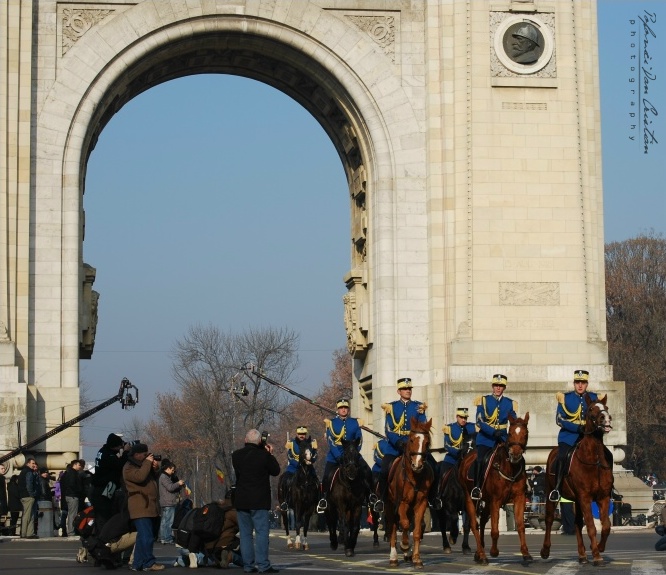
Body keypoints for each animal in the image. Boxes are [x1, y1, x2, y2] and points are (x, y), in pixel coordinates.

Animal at [382, 416, 434, 568]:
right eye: (411, 440)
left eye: (427, 442)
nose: (417, 465)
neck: (414, 476)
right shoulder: (402, 502)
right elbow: (404, 524)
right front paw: (404, 545)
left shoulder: (421, 503)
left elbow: (416, 530)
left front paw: (416, 558)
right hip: (390, 505)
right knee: (393, 526)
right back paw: (394, 557)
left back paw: (408, 555)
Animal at [456, 414, 528, 568]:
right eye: (510, 433)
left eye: (525, 434)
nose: (515, 454)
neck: (509, 467)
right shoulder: (496, 501)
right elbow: (494, 530)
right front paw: (494, 551)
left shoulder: (519, 498)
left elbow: (520, 526)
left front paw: (526, 553)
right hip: (470, 499)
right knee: (474, 524)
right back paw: (482, 555)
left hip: (487, 502)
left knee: (482, 521)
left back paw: (479, 553)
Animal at [540, 396, 612, 568]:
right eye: (591, 409)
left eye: (606, 407)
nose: (606, 419)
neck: (594, 459)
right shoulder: (585, 497)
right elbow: (591, 527)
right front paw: (597, 556)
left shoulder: (603, 497)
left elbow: (606, 526)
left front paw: (599, 547)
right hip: (551, 494)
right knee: (549, 519)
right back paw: (545, 550)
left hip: (577, 500)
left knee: (578, 523)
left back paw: (582, 555)